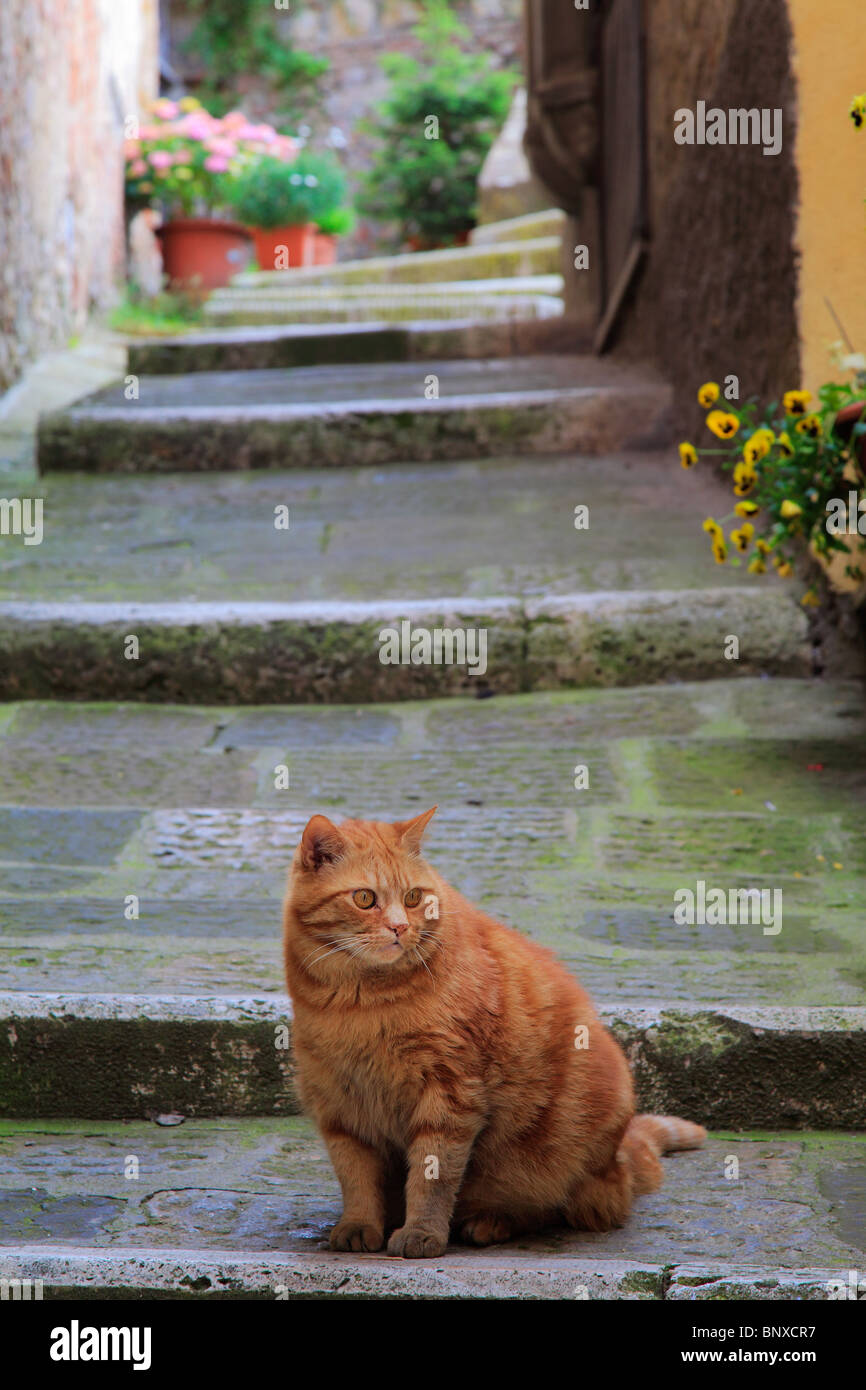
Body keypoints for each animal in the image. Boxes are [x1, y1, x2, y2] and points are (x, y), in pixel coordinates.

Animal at [284, 806, 706, 1262]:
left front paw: (421, 1233)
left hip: (560, 1157)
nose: (399, 927)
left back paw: (490, 1222)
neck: (361, 1003)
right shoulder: (338, 1101)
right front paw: (359, 1225)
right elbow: (357, 1177)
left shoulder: (449, 1093)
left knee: (554, 1207)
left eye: (413, 897)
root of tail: (620, 1158)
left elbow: (433, 1175)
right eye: (365, 898)